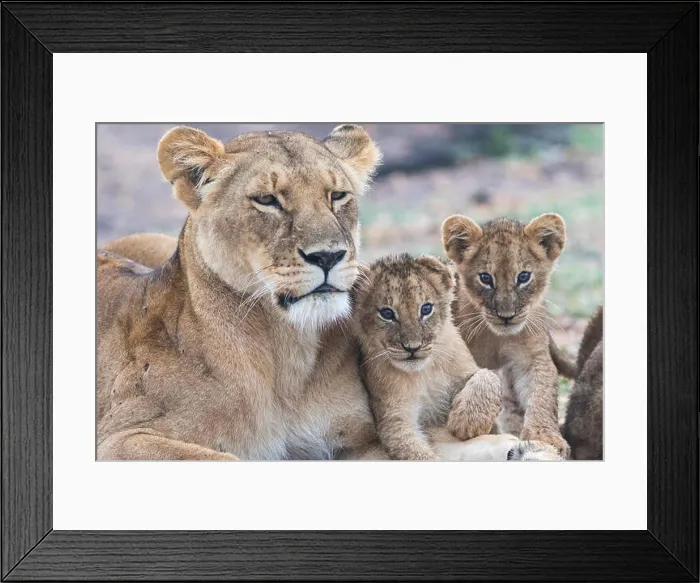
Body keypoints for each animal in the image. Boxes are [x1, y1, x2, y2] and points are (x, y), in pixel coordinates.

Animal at [97, 124, 390, 460]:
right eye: (267, 199)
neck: (285, 352)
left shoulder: (364, 439)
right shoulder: (120, 437)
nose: (328, 256)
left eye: (338, 195)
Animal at [351, 254, 502, 460]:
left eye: (426, 309)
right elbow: (412, 449)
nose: (412, 348)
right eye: (387, 313)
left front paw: (467, 422)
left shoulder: (466, 370)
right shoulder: (394, 416)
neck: (423, 373)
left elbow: (488, 375)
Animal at [442, 213, 570, 457]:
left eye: (523, 277)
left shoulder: (532, 356)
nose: (506, 316)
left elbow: (542, 393)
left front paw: (545, 437)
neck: (497, 337)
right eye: (485, 278)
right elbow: (482, 381)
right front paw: (469, 424)